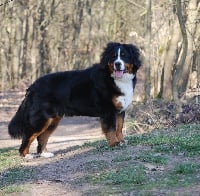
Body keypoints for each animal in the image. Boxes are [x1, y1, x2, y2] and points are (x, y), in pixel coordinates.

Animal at [8, 41, 142, 158]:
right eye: (114, 57)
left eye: (124, 56)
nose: (117, 64)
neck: (115, 79)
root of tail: (32, 86)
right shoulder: (108, 111)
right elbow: (111, 129)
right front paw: (114, 143)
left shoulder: (120, 110)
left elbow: (119, 128)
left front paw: (122, 141)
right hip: (41, 118)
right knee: (28, 135)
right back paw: (26, 155)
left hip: (52, 120)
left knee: (42, 137)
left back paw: (45, 153)